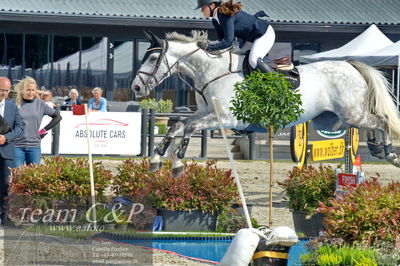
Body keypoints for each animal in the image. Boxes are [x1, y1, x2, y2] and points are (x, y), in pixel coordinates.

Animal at [132, 30, 400, 175]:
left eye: (153, 58)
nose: (136, 88)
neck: (212, 71)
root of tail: (350, 64)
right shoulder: (207, 113)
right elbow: (178, 125)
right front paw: (156, 159)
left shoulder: (226, 118)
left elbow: (189, 127)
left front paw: (177, 164)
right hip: (333, 118)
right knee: (369, 124)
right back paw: (376, 148)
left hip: (350, 113)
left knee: (382, 120)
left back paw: (389, 154)